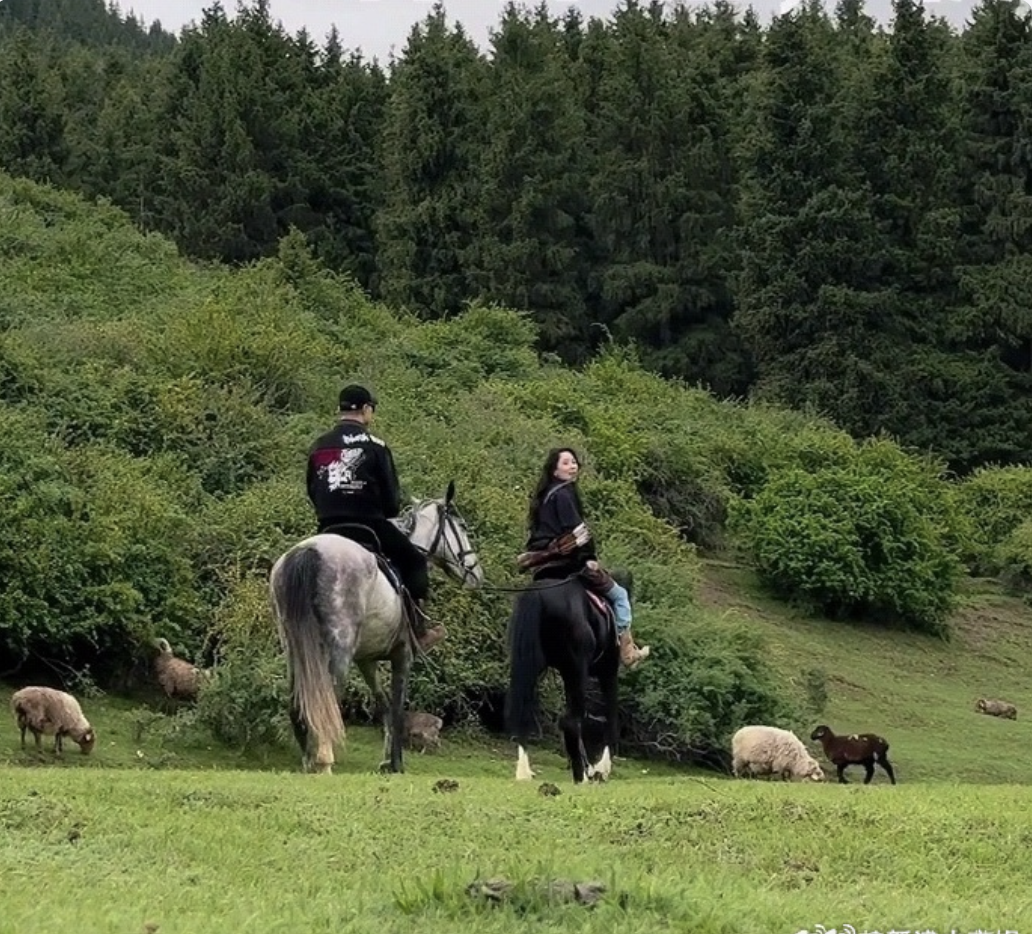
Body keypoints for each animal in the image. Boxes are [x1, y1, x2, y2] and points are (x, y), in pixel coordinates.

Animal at [268, 480, 480, 771]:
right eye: (463, 527)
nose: (476, 573)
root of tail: (309, 551)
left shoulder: (366, 661)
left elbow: (384, 706)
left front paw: (386, 761)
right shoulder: (403, 654)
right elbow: (398, 707)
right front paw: (396, 763)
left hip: (294, 649)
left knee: (299, 701)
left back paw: (308, 760)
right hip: (338, 651)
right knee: (328, 697)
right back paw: (324, 760)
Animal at [499, 569, 619, 780]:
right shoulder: (607, 671)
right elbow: (610, 715)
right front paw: (601, 768)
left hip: (531, 666)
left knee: (522, 713)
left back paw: (524, 771)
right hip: (578, 669)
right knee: (572, 719)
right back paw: (583, 774)